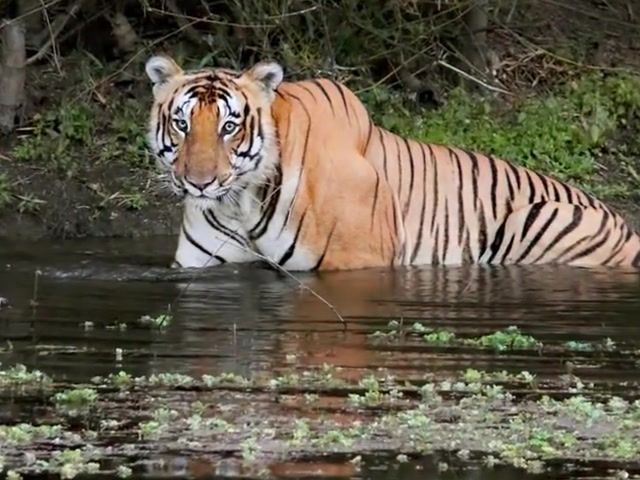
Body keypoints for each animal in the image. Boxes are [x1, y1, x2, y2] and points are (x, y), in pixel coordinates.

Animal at [144, 54, 640, 271]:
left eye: (229, 127)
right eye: (182, 124)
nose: (199, 183)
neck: (242, 201)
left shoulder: (357, 261)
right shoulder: (200, 266)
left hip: (535, 218)